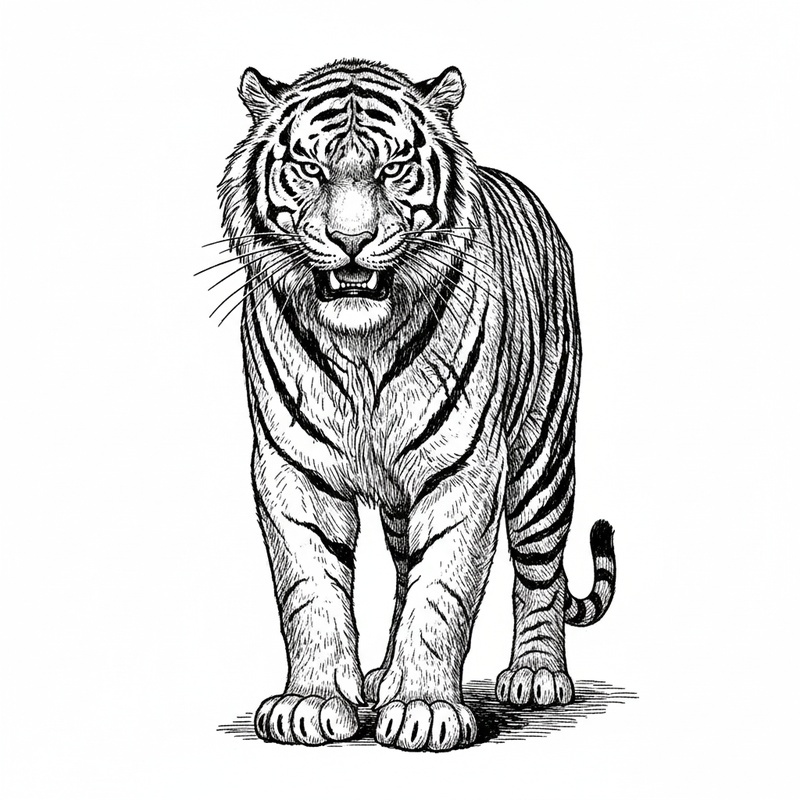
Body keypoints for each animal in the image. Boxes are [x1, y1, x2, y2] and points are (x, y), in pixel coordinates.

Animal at [216, 58, 616, 751]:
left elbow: (443, 593)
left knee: (540, 574)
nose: (352, 240)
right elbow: (310, 592)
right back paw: (379, 678)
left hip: (543, 462)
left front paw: (426, 710)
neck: (362, 346)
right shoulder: (292, 469)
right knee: (405, 568)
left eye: (393, 168)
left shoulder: (466, 468)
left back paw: (536, 676)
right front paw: (311, 704)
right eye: (310, 168)